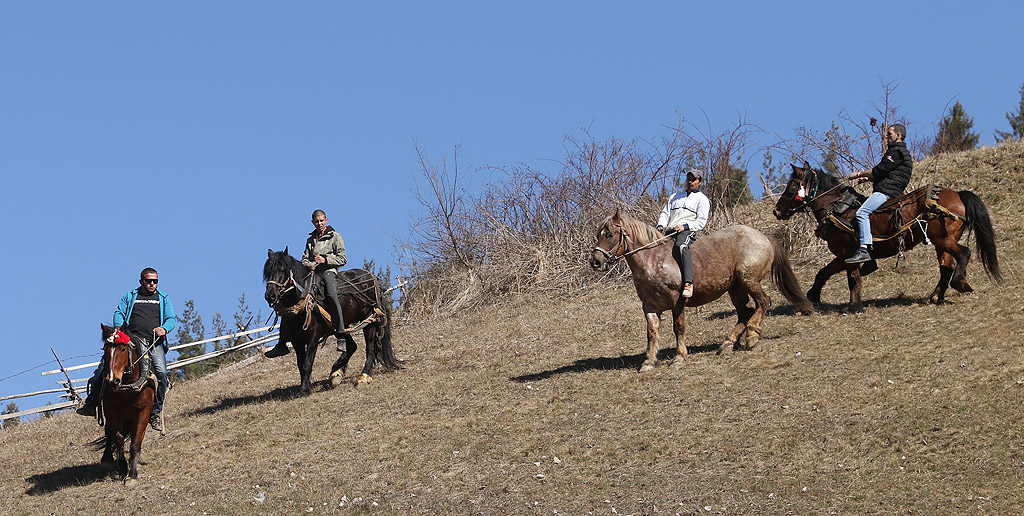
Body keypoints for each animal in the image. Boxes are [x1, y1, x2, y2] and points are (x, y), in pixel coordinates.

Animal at [89, 323, 153, 481]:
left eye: (123, 349)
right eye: (105, 349)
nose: (113, 380)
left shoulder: (143, 412)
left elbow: (136, 442)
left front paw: (132, 474)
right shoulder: (113, 413)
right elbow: (118, 439)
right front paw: (123, 468)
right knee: (109, 433)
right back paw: (107, 460)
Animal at [264, 247, 399, 393]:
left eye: (283, 270)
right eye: (268, 271)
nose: (270, 296)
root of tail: (371, 277)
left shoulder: (313, 337)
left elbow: (307, 363)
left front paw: (306, 389)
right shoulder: (296, 340)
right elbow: (301, 364)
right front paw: (305, 386)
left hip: (369, 319)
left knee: (370, 348)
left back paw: (362, 377)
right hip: (339, 327)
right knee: (351, 346)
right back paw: (336, 373)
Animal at [589, 209, 811, 370]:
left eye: (610, 234)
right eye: (597, 235)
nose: (595, 261)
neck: (654, 260)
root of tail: (763, 237)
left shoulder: (677, 302)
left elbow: (678, 327)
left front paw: (679, 357)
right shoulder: (650, 307)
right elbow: (651, 332)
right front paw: (649, 361)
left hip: (749, 280)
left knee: (764, 302)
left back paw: (751, 336)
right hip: (735, 288)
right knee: (744, 312)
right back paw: (728, 343)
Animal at [774, 162, 999, 313]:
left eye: (792, 185)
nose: (777, 211)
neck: (838, 209)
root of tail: (958, 195)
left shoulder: (848, 253)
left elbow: (852, 278)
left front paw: (854, 305)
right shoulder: (843, 256)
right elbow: (824, 272)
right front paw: (813, 296)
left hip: (943, 240)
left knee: (963, 254)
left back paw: (960, 282)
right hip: (940, 242)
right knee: (946, 267)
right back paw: (936, 296)